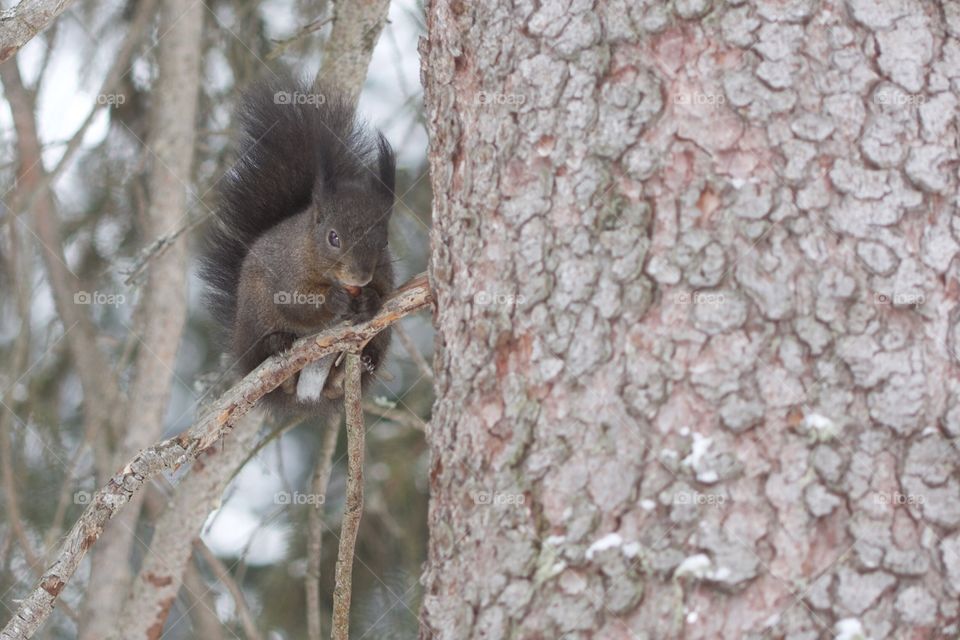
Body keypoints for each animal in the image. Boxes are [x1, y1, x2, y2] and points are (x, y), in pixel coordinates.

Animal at [199, 77, 396, 414]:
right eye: (333, 237)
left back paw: (355, 367)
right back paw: (276, 348)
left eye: (384, 241)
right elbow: (295, 303)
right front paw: (334, 300)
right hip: (255, 316)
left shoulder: (386, 274)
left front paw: (370, 299)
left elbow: (386, 294)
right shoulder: (287, 271)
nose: (360, 278)